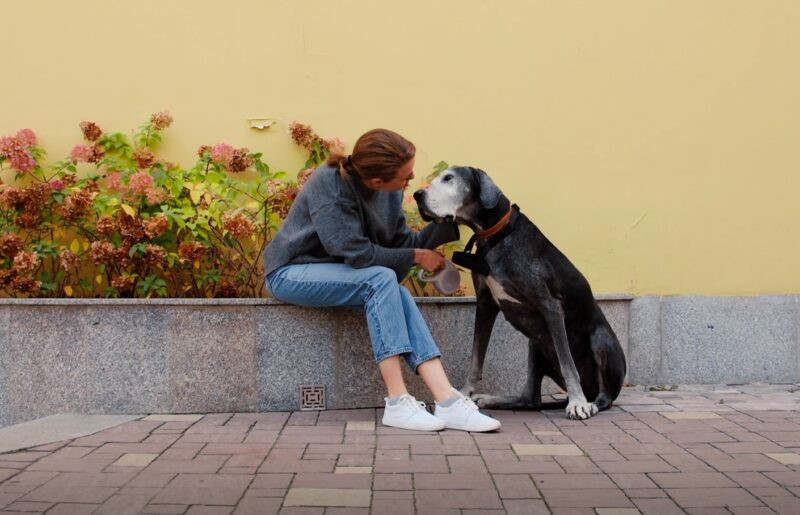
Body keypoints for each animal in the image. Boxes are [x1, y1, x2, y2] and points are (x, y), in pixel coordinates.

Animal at [416, 167, 628, 422]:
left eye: (449, 178)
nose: (417, 195)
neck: (498, 235)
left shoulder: (550, 305)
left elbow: (567, 363)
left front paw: (577, 403)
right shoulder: (485, 304)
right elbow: (476, 358)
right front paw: (465, 394)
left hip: (599, 339)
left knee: (605, 396)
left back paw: (589, 402)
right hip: (535, 344)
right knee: (530, 398)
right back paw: (492, 399)